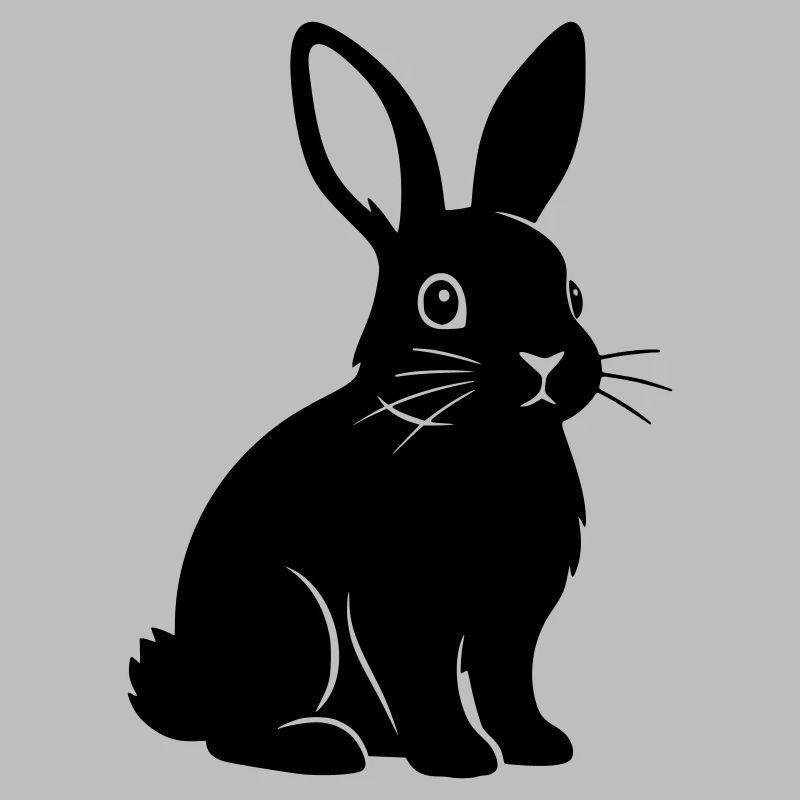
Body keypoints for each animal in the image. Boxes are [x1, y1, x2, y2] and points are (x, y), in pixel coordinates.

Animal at [129, 20, 668, 778]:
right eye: (441, 300)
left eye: (574, 294)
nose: (547, 361)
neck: (488, 443)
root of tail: (195, 688)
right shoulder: (403, 604)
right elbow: (424, 678)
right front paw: (457, 759)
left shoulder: (514, 615)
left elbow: (509, 682)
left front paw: (539, 747)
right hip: (291, 622)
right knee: (233, 735)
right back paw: (327, 747)